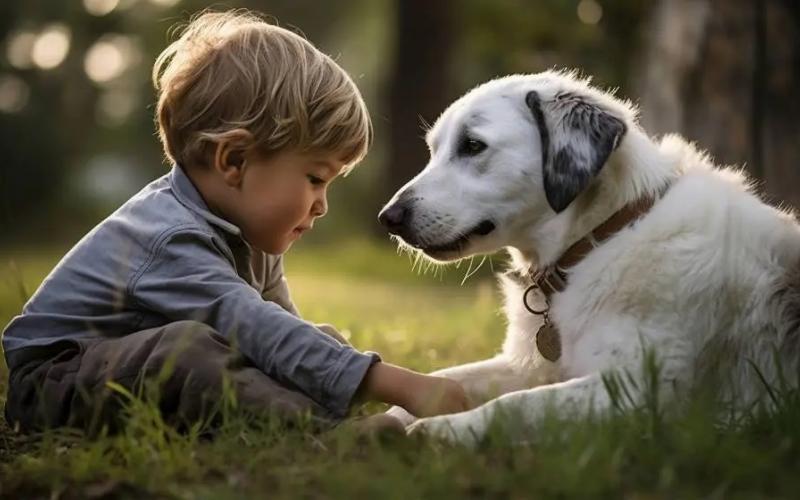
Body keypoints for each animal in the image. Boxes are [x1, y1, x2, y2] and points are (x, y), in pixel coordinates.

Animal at [376, 69, 800, 446]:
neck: (599, 241)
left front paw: (449, 429)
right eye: (434, 150)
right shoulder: (528, 366)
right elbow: (444, 378)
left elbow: (516, 405)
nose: (389, 218)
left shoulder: (636, 391)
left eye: (473, 145)